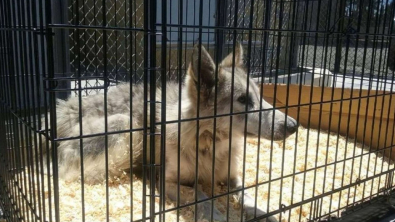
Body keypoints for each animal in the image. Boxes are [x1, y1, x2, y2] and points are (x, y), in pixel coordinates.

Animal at [41, 43, 300, 222]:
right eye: (243, 100)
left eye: (260, 96)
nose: (293, 125)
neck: (208, 144)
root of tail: (68, 108)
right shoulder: (166, 182)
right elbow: (199, 195)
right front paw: (215, 214)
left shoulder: (233, 178)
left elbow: (247, 195)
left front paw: (263, 212)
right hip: (127, 129)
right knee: (75, 174)